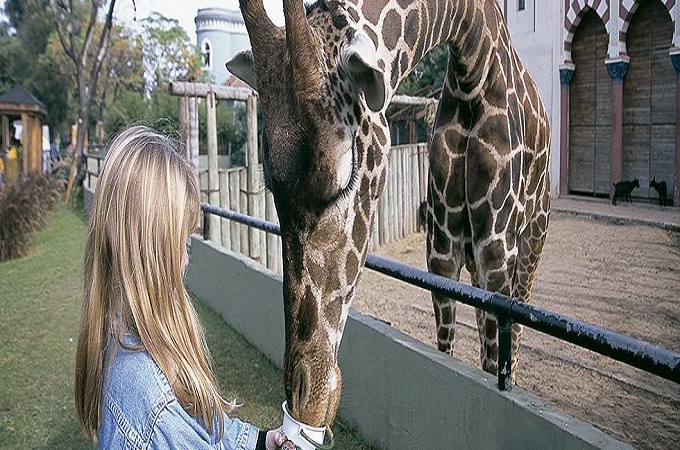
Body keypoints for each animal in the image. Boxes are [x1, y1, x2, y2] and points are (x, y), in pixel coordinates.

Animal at [226, 0, 548, 428]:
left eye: (342, 177)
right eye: (271, 186)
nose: (305, 400)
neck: (473, 65)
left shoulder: (497, 249)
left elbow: (494, 356)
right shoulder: (442, 251)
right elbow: (446, 348)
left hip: (528, 244)